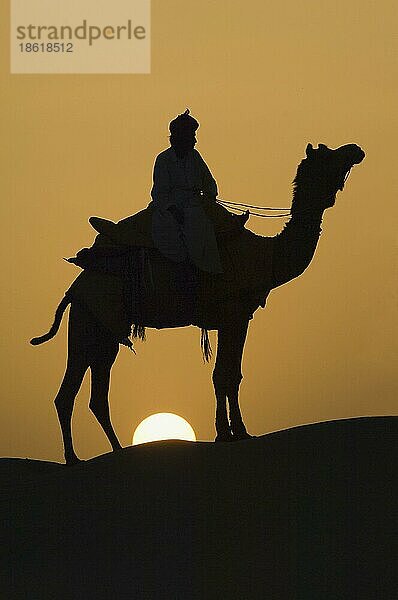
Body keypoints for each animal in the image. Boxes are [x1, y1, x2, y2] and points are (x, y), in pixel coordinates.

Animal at [31, 144, 364, 464]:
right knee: (68, 392)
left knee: (96, 395)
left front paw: (236, 432)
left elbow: (231, 374)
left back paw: (115, 450)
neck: (265, 255)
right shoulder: (233, 314)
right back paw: (73, 458)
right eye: (329, 155)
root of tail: (74, 288)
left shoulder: (237, 318)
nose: (356, 150)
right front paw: (229, 433)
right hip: (88, 320)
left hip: (104, 332)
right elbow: (224, 375)